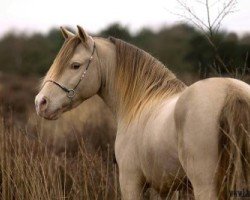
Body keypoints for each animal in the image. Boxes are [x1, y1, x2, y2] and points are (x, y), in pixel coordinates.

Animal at [35, 25, 250, 199]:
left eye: (75, 65)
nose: (41, 102)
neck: (140, 102)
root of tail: (232, 91)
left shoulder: (131, 182)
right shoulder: (167, 188)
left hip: (204, 185)